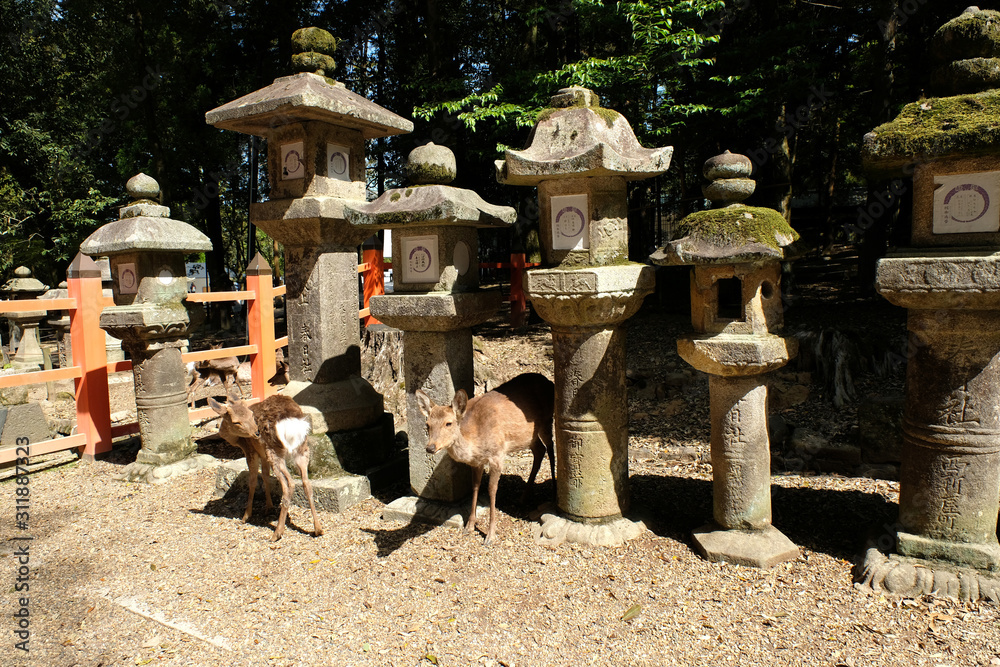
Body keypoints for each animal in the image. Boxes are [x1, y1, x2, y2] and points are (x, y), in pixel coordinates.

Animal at [209, 394, 322, 540]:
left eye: (251, 415)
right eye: (236, 422)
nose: (256, 432)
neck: (236, 440)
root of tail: (292, 423)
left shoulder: (251, 451)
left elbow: (253, 481)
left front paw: (246, 515)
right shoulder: (263, 455)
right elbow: (265, 476)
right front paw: (269, 507)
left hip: (274, 451)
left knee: (289, 484)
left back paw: (277, 533)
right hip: (301, 450)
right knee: (306, 483)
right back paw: (318, 529)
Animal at [414, 374, 556, 544]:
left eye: (448, 423)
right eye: (427, 424)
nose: (430, 447)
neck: (475, 441)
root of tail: (549, 381)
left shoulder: (497, 455)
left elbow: (491, 489)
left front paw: (490, 535)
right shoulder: (477, 462)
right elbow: (475, 486)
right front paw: (469, 527)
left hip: (547, 421)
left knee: (551, 448)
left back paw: (554, 491)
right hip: (528, 436)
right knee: (540, 450)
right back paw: (522, 498)